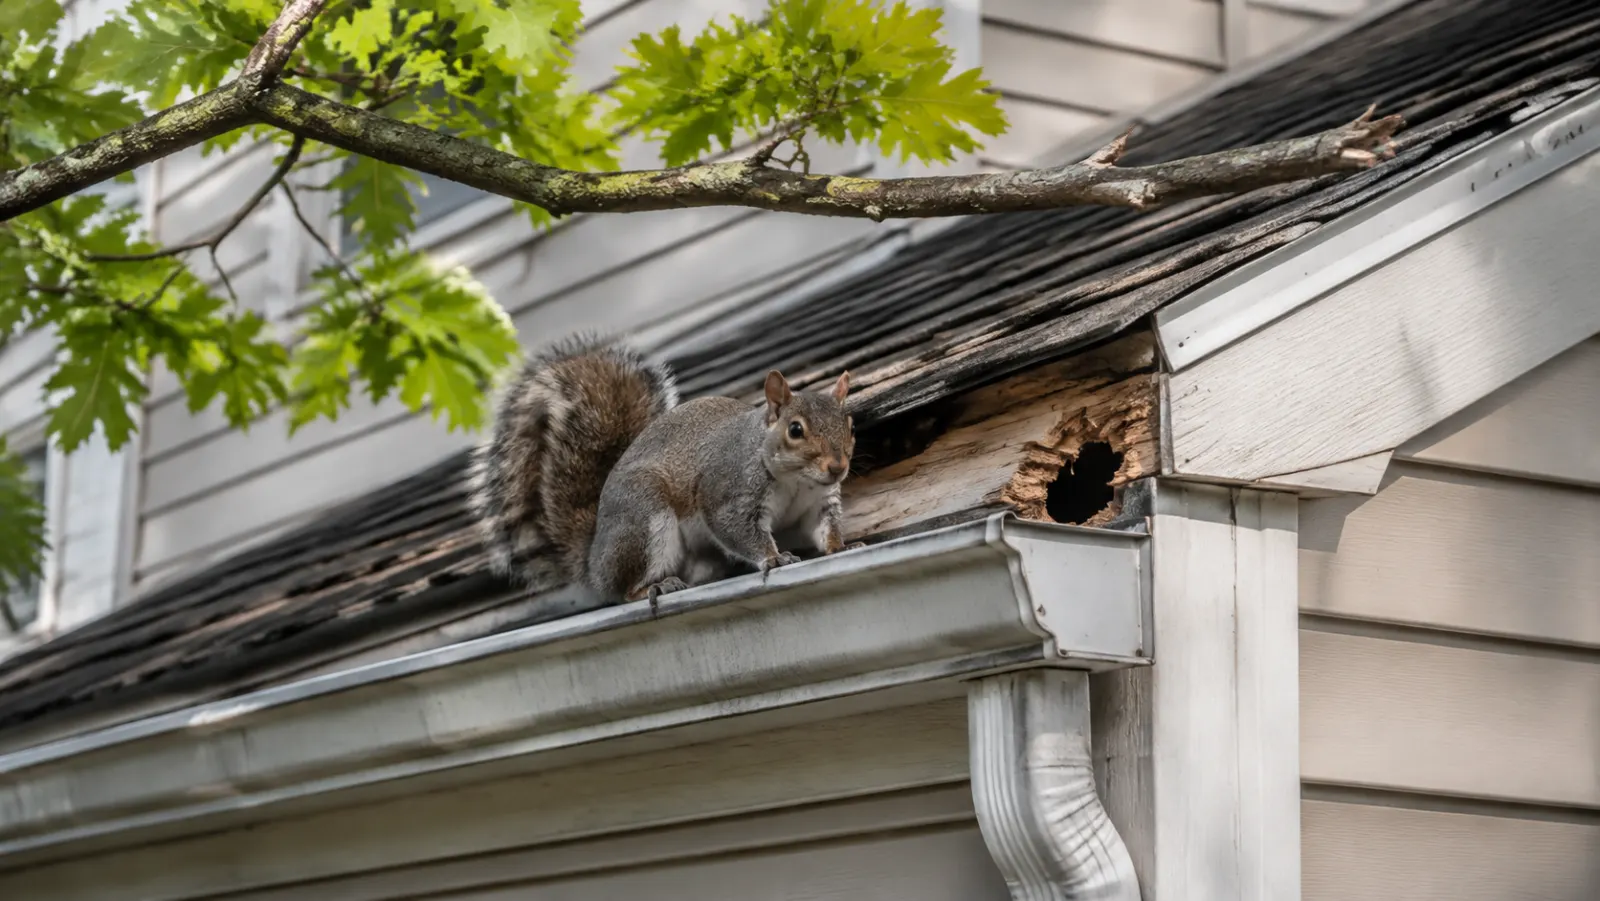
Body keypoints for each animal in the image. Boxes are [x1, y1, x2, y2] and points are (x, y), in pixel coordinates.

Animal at [468, 334, 863, 605]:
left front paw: (841, 546)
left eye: (850, 425)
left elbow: (824, 528)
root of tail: (593, 560)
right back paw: (653, 586)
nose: (838, 467)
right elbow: (736, 529)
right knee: (623, 588)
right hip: (645, 518)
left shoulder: (819, 503)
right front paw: (774, 557)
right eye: (795, 430)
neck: (797, 481)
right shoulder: (729, 491)